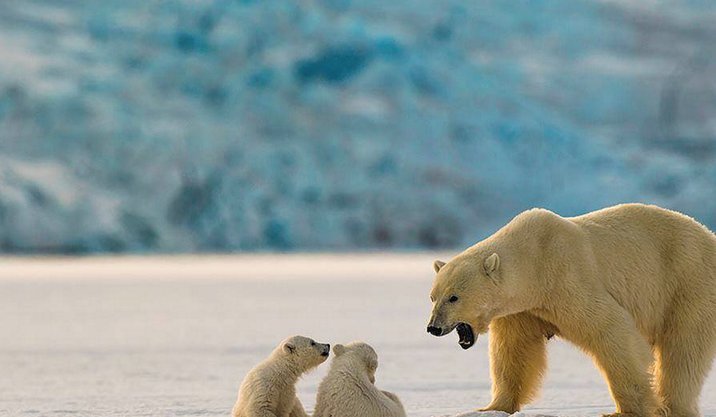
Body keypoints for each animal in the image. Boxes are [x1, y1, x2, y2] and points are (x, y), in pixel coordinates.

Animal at [426, 203, 716, 417]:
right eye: (433, 297)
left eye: (454, 297)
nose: (433, 327)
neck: (534, 258)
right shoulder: (522, 309)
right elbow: (514, 351)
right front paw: (491, 408)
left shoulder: (565, 277)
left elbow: (611, 329)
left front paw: (628, 410)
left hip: (688, 283)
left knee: (682, 350)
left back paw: (670, 407)